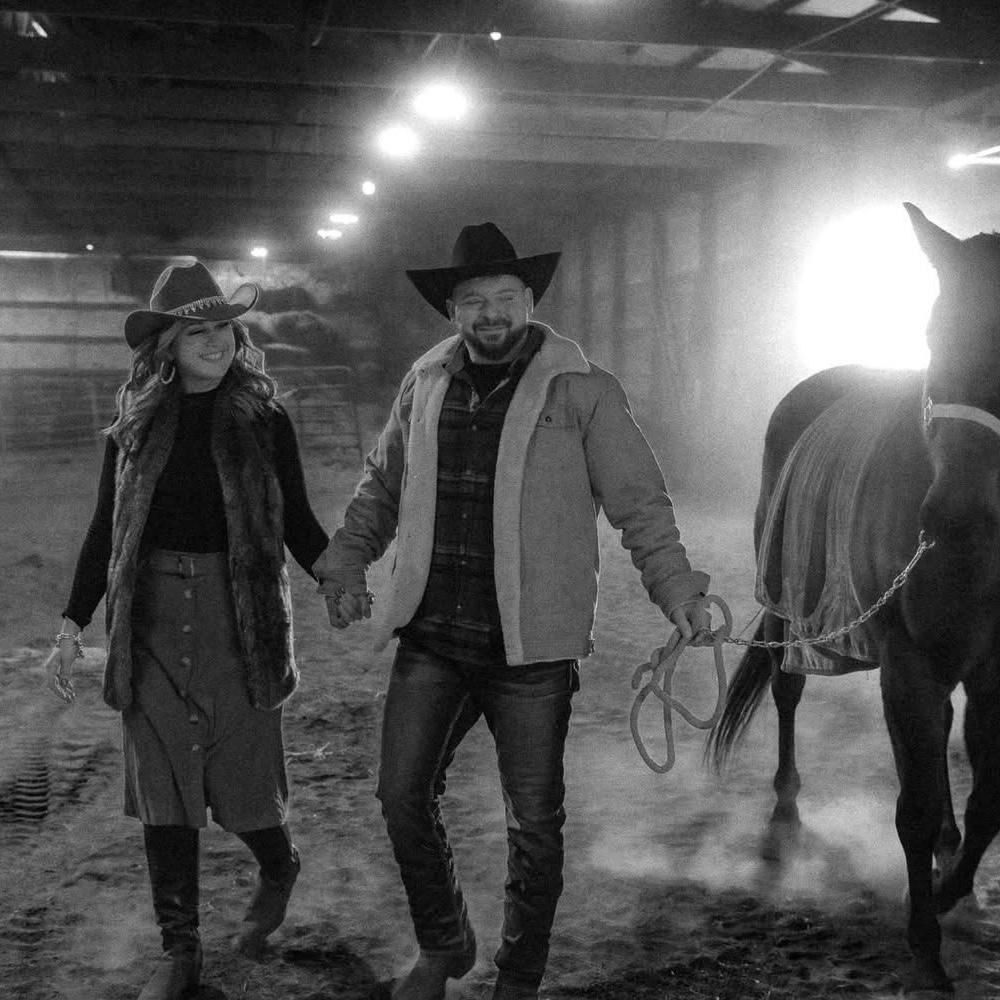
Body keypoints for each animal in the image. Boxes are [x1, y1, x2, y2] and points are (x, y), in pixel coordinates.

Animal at [707, 203, 1000, 997]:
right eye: (932, 333)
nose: (952, 516)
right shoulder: (910, 662)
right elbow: (916, 806)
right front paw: (925, 946)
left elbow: (990, 795)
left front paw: (953, 890)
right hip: (794, 612)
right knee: (787, 693)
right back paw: (784, 807)